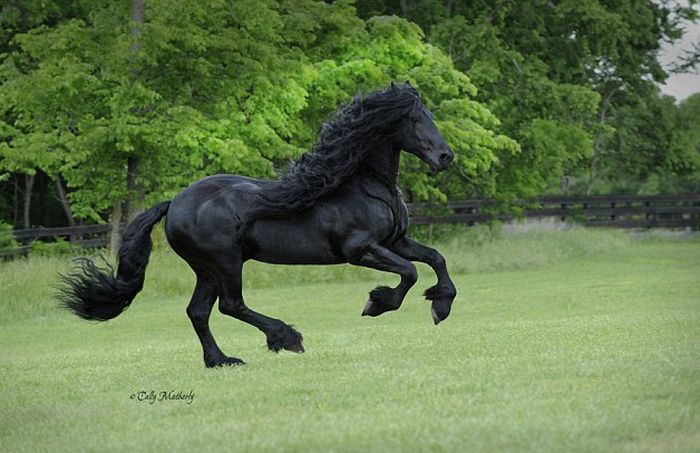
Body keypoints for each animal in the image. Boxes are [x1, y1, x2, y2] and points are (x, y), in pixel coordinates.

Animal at [60, 84, 460, 368]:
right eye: (414, 120)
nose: (446, 157)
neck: (365, 186)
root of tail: (174, 203)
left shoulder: (397, 240)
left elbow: (435, 259)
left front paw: (440, 306)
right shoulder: (360, 250)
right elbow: (409, 273)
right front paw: (377, 303)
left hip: (207, 270)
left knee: (198, 311)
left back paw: (221, 361)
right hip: (226, 263)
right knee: (231, 305)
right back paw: (286, 337)